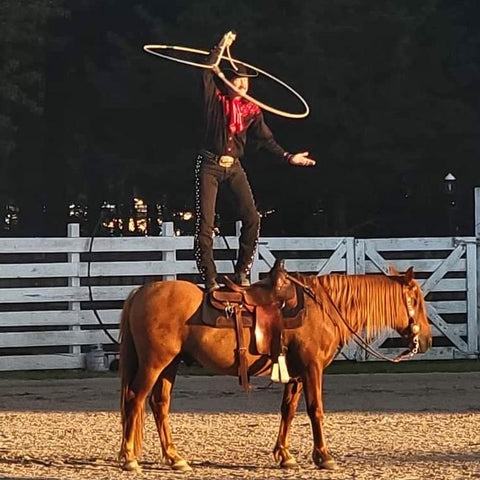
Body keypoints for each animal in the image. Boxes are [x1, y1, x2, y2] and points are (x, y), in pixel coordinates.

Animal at [119, 260, 432, 470]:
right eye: (416, 300)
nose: (428, 340)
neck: (322, 309)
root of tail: (141, 292)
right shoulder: (312, 367)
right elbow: (315, 409)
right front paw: (324, 456)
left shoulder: (296, 374)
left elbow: (288, 410)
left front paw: (285, 455)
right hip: (154, 363)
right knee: (135, 398)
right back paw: (130, 458)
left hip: (169, 365)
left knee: (159, 404)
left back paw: (174, 458)